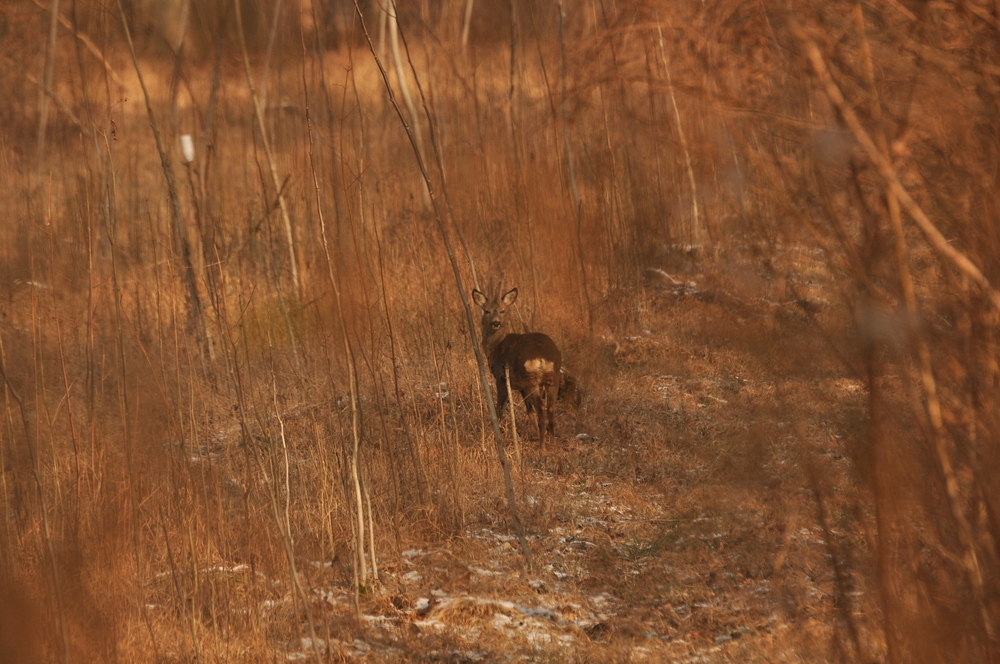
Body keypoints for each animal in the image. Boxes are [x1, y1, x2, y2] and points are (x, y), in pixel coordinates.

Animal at [470, 286, 564, 446]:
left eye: (502, 311)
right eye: (487, 311)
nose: (496, 323)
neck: (496, 346)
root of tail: (543, 357)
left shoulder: (501, 378)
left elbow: (499, 408)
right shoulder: (520, 386)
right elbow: (529, 411)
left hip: (531, 379)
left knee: (541, 407)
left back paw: (542, 445)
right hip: (552, 378)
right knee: (550, 408)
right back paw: (551, 441)